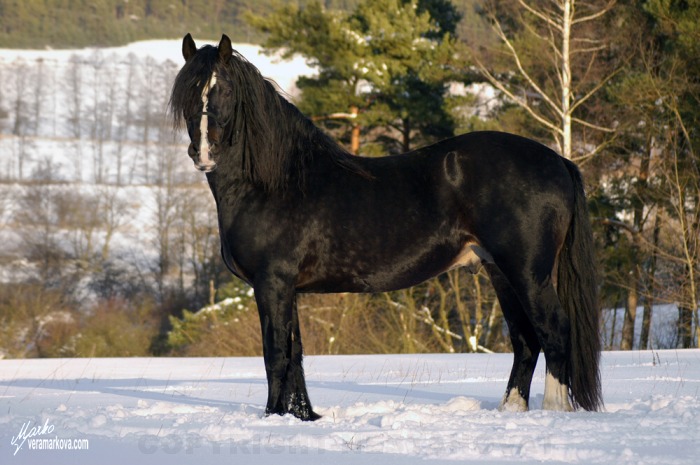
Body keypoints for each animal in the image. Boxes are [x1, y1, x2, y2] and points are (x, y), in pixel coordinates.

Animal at [170, 34, 600, 418]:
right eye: (186, 93)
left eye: (223, 89)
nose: (203, 152)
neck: (277, 181)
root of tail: (559, 160)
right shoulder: (287, 288)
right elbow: (295, 356)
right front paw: (302, 416)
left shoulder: (271, 282)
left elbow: (275, 355)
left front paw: (273, 417)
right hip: (500, 271)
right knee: (525, 340)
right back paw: (510, 412)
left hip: (528, 273)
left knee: (555, 332)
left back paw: (556, 412)